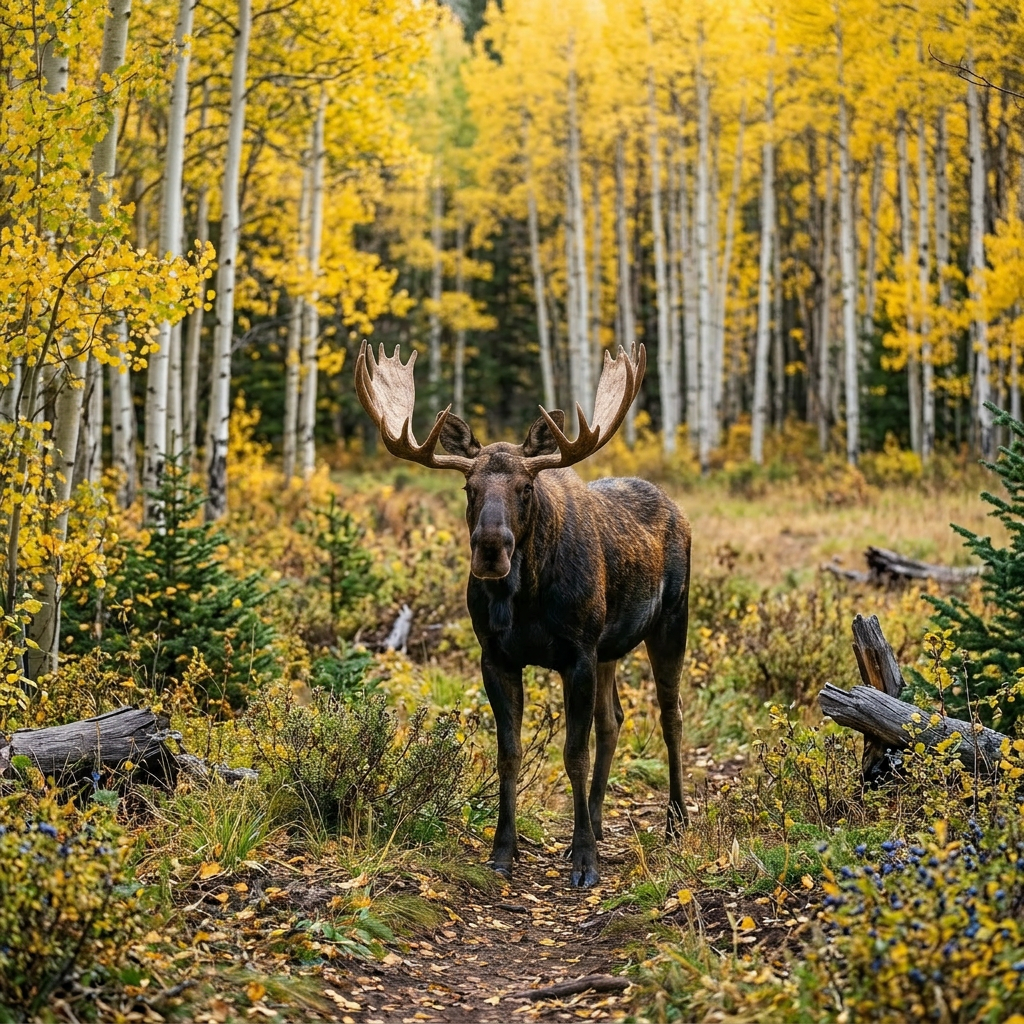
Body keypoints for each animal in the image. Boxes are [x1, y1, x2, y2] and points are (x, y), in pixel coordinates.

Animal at [354, 340, 691, 888]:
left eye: (525, 489)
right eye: (468, 488)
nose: (491, 548)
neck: (526, 600)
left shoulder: (577, 654)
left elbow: (573, 754)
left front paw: (583, 862)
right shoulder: (497, 656)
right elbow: (509, 753)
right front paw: (503, 850)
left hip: (670, 621)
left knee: (670, 714)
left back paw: (675, 821)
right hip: (610, 648)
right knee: (613, 720)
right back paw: (597, 820)